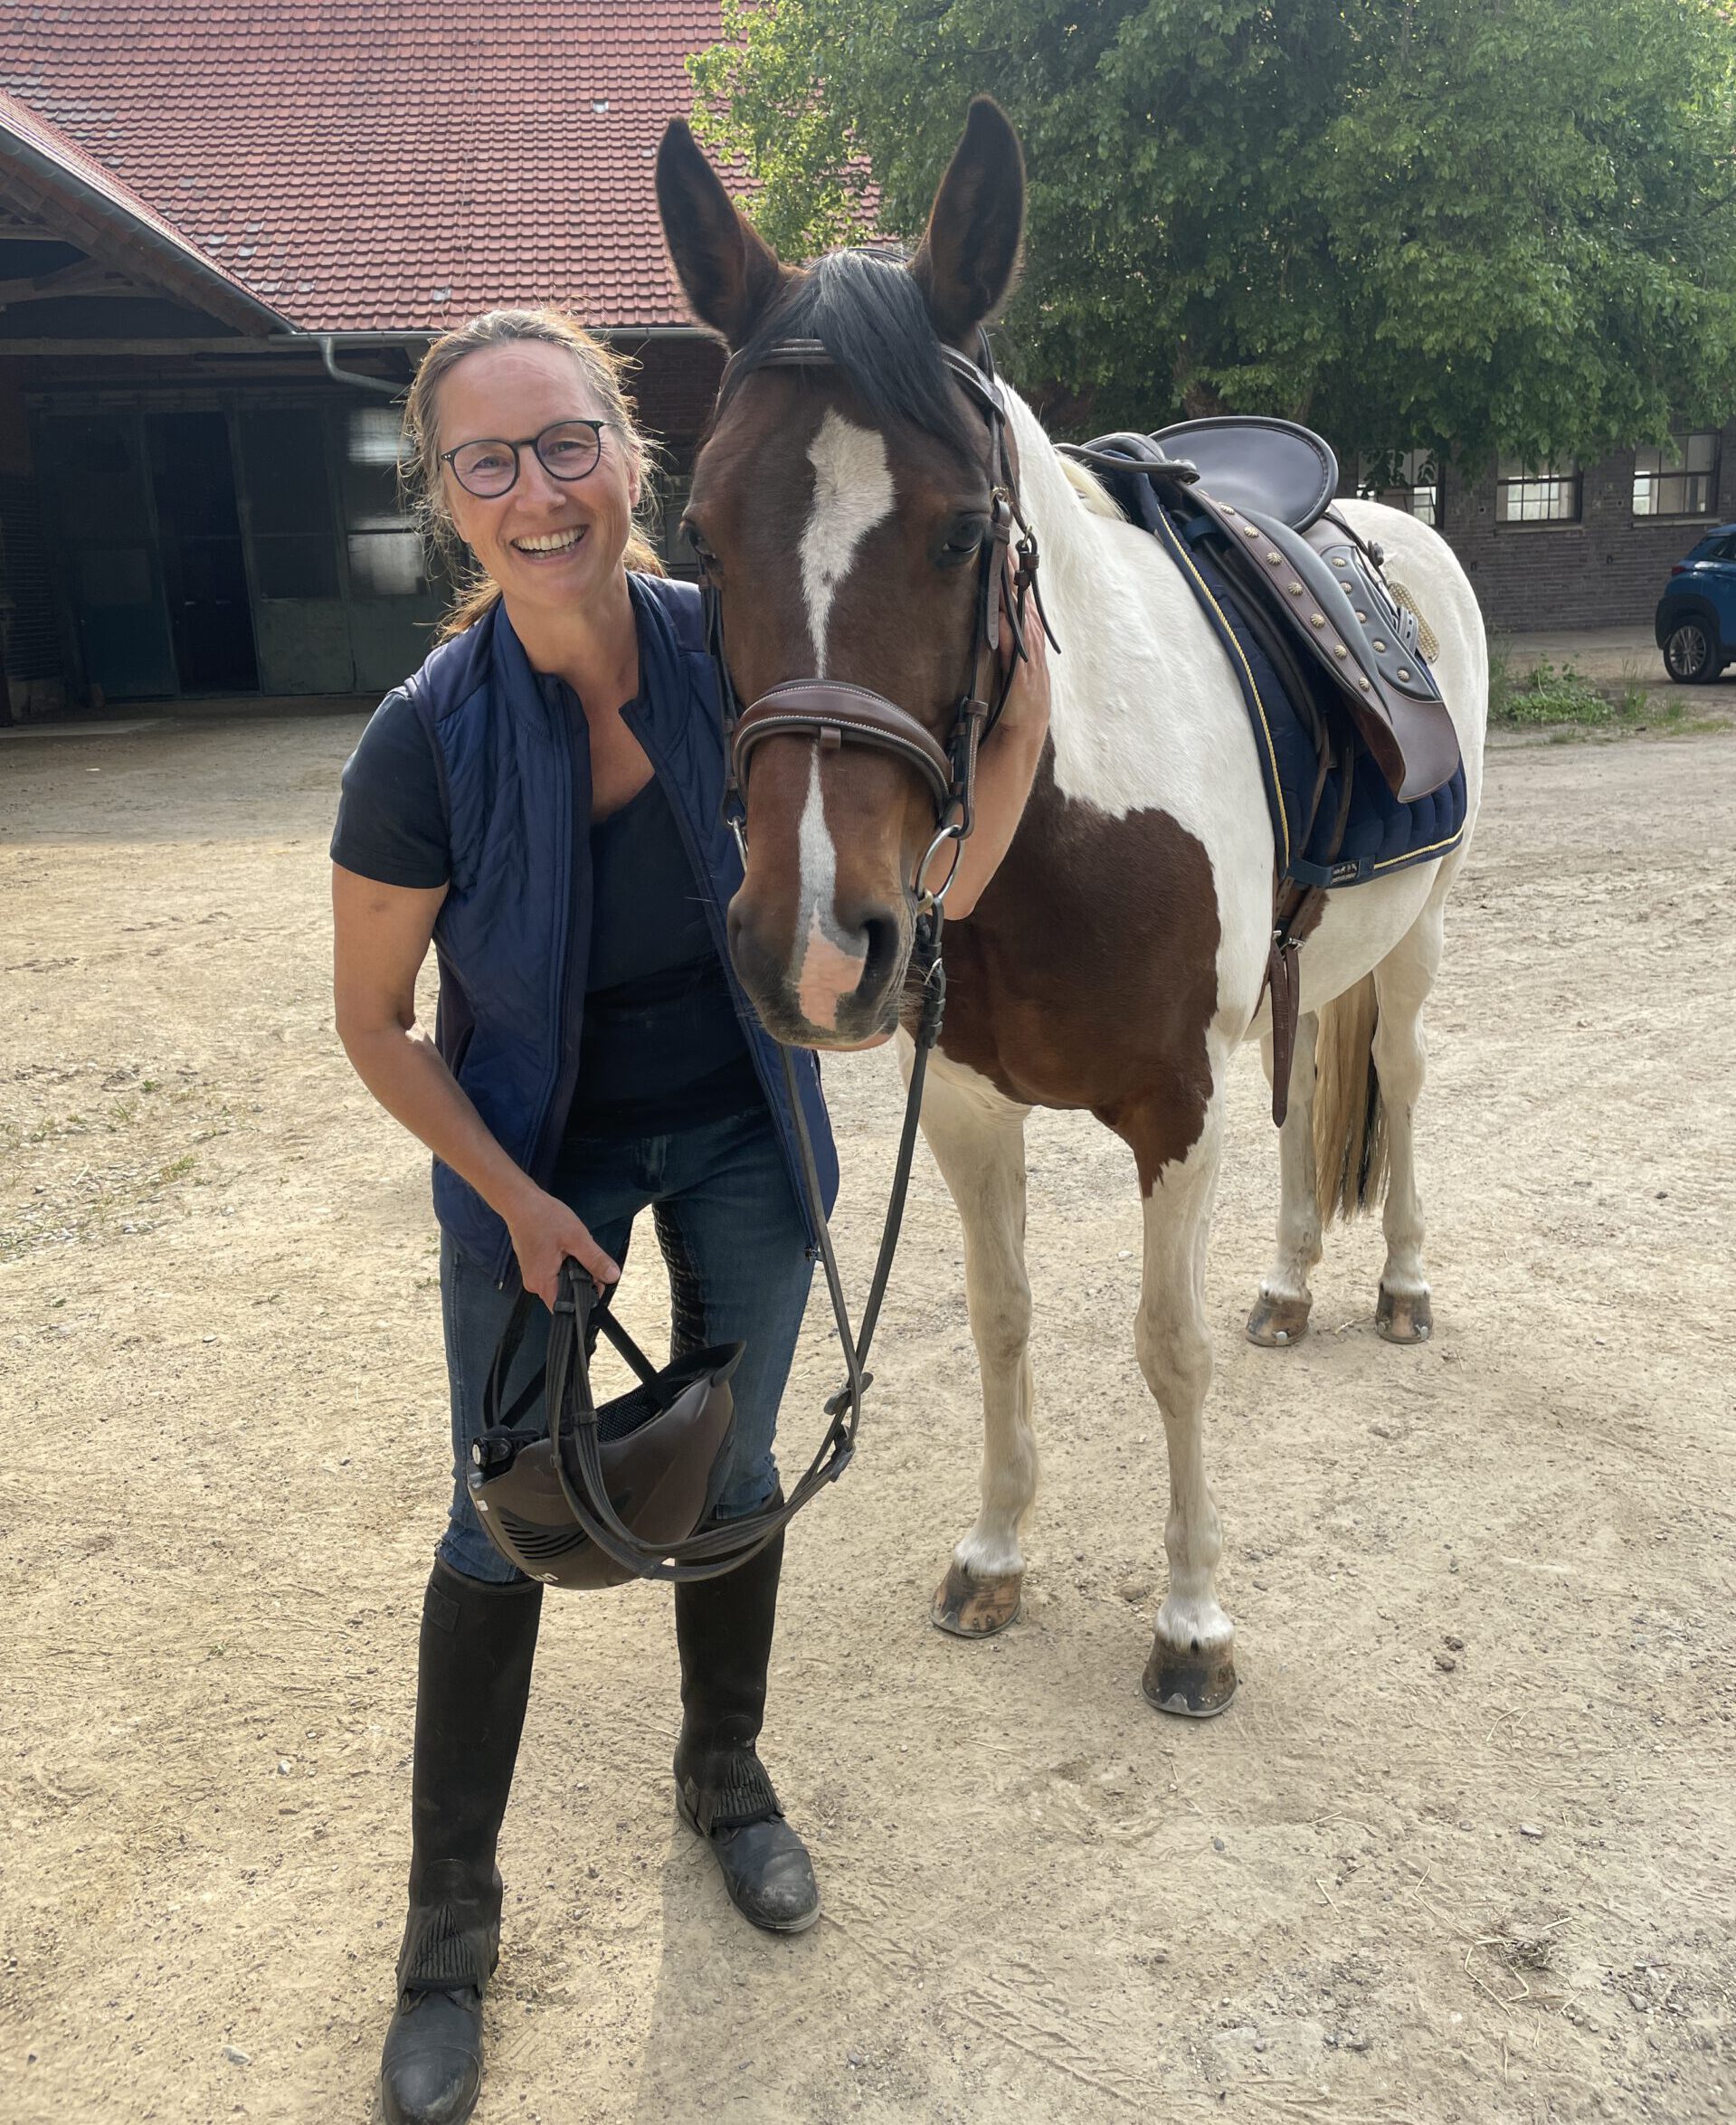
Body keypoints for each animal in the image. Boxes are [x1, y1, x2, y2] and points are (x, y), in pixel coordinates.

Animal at [659, 108, 1487, 1716]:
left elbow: (1166, 1348)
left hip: (1414, 937)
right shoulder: (968, 1103)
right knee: (1311, 1085)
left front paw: (1191, 1624)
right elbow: (1001, 1320)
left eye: (958, 533)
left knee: (1400, 1077)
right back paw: (1290, 1283)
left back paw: (1401, 1284)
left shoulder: (1173, 1106)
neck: (1060, 821)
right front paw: (991, 1556)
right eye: (702, 535)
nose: (812, 947)